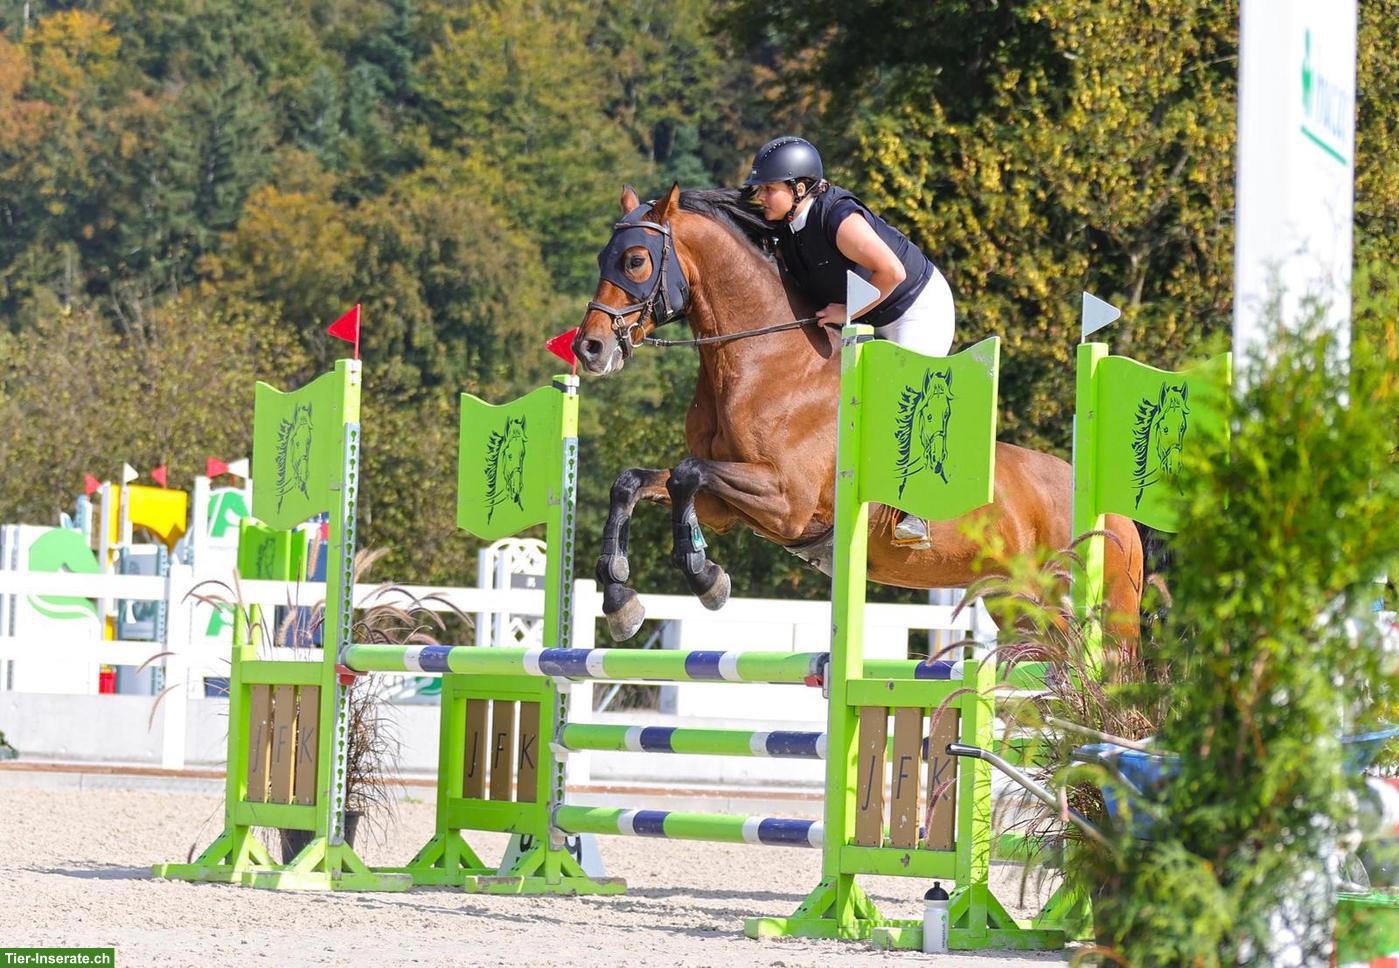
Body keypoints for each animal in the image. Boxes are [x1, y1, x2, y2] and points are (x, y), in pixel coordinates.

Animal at [572, 183, 1143, 647]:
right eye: (602, 256)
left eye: (636, 261)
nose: (589, 349)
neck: (765, 363)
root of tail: (1115, 515)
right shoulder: (725, 507)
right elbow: (635, 481)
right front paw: (623, 603)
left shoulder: (787, 501)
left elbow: (688, 475)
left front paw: (704, 578)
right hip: (1015, 602)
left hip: (1083, 606)